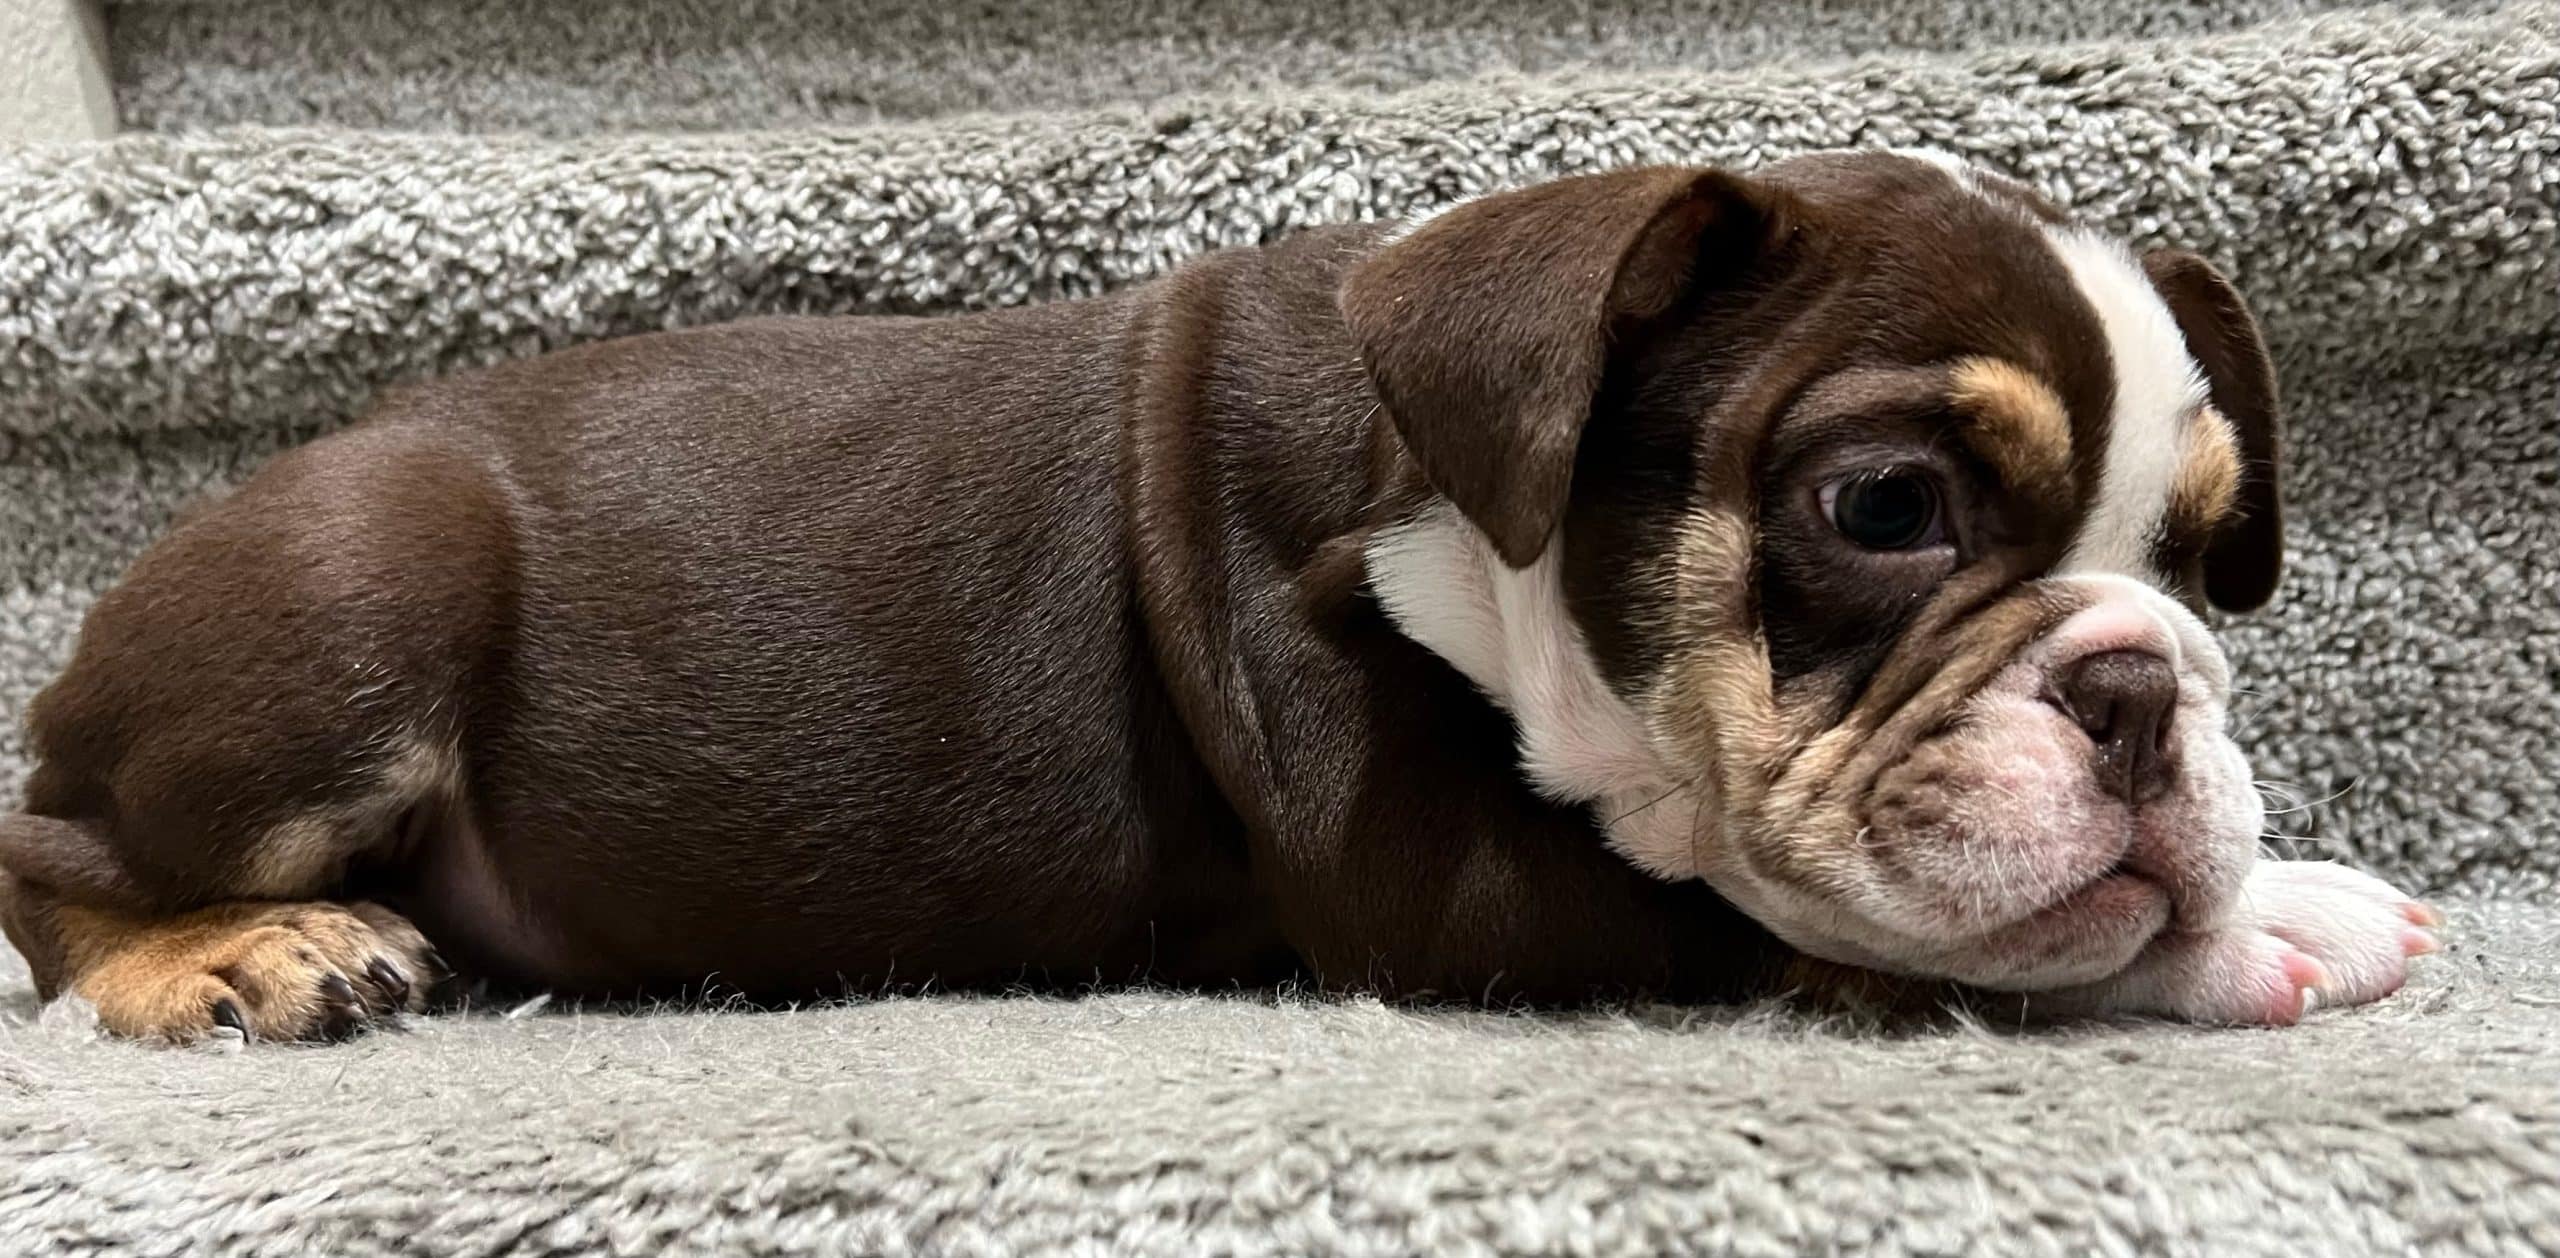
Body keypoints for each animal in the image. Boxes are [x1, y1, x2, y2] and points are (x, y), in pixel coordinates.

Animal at [0, 151, 2440, 1044]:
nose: (2145, 690)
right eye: (1883, 503)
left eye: (2203, 551)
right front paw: (2265, 922)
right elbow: (1812, 918)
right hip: (357, 599)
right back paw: (232, 953)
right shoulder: (1475, 884)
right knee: (52, 854)